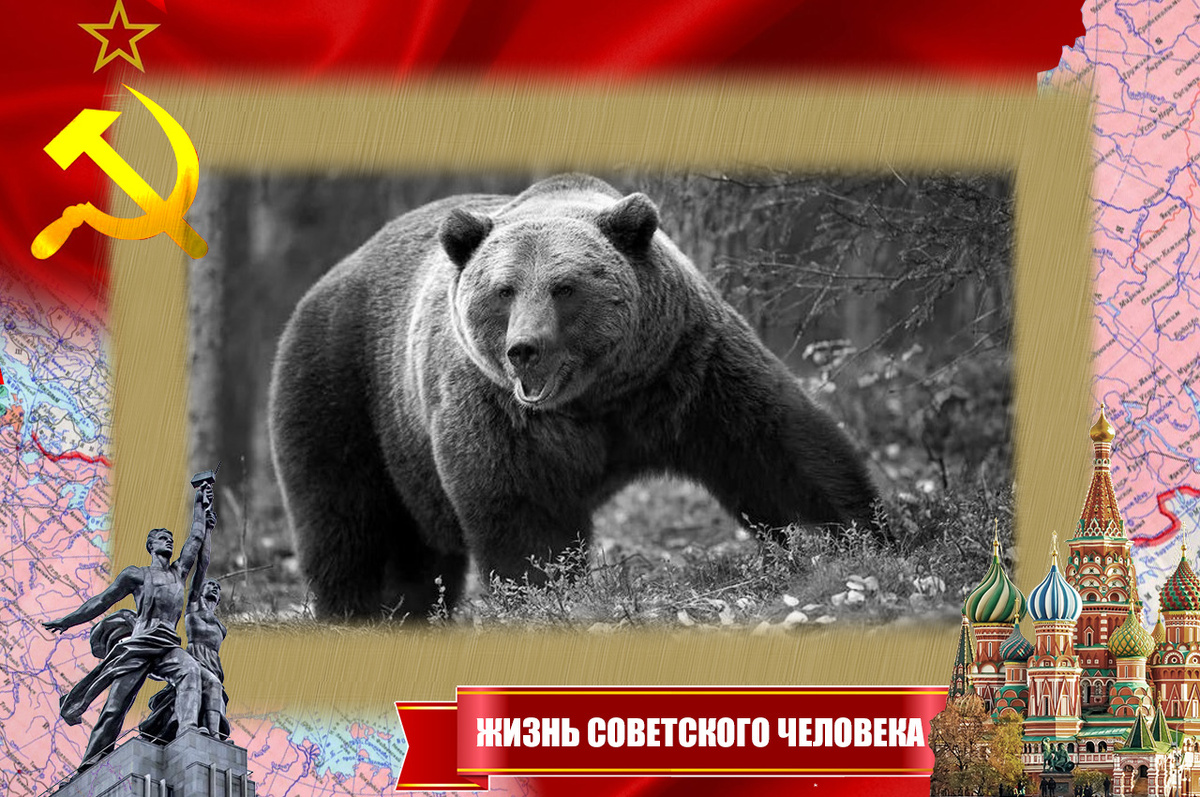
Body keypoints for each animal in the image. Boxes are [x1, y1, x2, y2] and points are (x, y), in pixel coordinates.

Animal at [268, 174, 880, 620]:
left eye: (564, 287)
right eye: (504, 290)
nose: (523, 349)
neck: (598, 397)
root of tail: (328, 280)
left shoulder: (684, 365)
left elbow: (773, 448)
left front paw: (856, 537)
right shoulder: (501, 410)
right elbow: (523, 509)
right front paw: (545, 596)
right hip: (347, 391)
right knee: (350, 525)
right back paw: (361, 613)